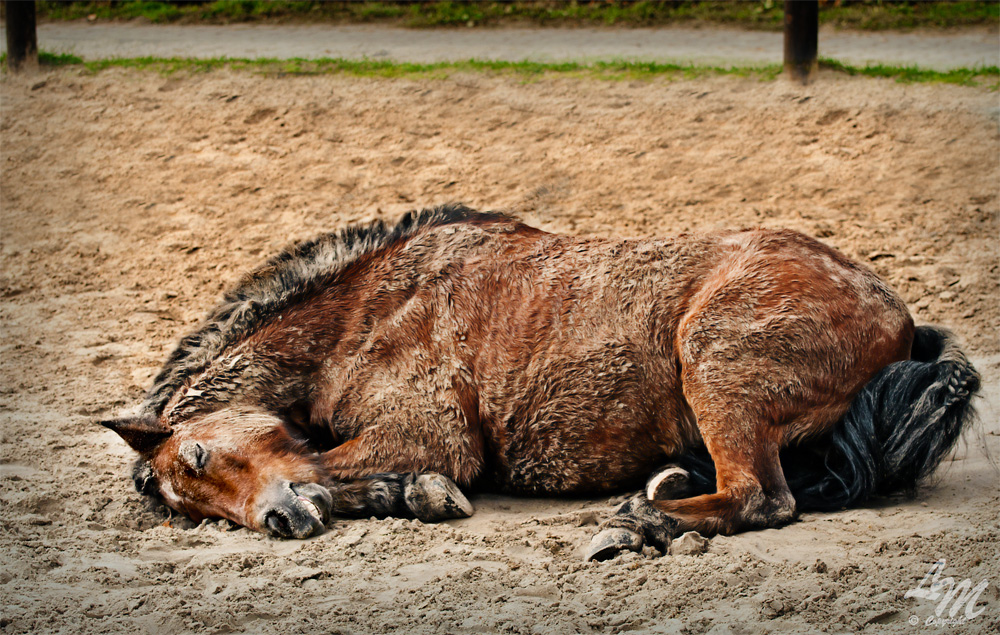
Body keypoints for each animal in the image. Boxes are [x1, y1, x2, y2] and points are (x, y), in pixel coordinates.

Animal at [99, 206, 976, 560]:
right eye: (191, 506)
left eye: (199, 457)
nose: (280, 522)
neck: (361, 313)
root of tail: (896, 313)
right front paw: (405, 494)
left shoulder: (428, 429)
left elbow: (324, 463)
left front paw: (408, 490)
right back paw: (658, 494)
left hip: (715, 363)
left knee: (761, 496)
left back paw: (640, 523)